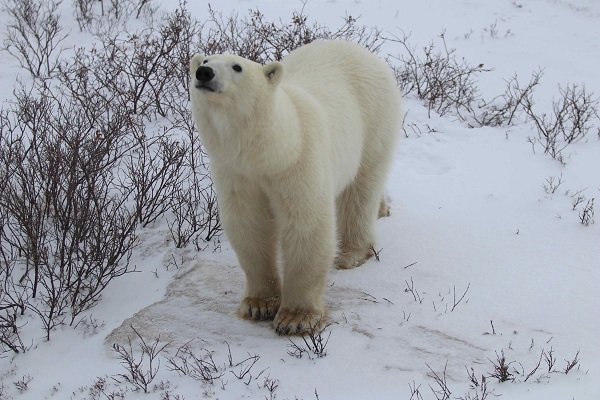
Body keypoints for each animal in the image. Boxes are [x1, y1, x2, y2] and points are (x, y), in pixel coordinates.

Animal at [190, 39, 400, 334]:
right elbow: (249, 226)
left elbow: (306, 225)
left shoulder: (299, 162)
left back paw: (351, 252)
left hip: (374, 120)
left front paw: (295, 318)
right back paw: (382, 209)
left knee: (361, 189)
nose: (204, 73)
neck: (274, 149)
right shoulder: (237, 174)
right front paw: (259, 304)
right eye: (205, 60)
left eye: (237, 66)